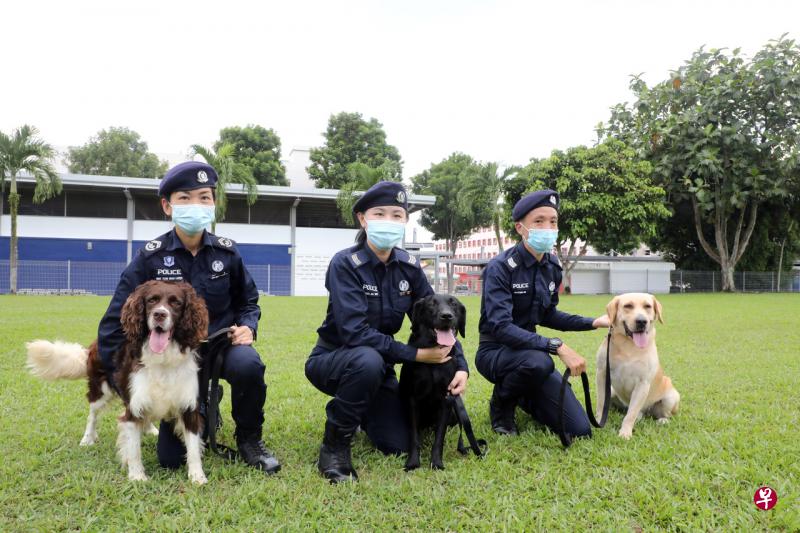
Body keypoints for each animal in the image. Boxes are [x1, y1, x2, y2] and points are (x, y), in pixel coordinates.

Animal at [400, 294, 468, 472]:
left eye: (454, 304)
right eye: (431, 303)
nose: (446, 316)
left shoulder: (446, 400)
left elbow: (439, 437)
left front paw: (436, 462)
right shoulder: (412, 400)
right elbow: (414, 437)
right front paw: (413, 462)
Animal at [596, 294, 680, 438]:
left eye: (648, 306)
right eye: (628, 306)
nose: (641, 321)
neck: (629, 345)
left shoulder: (643, 383)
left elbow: (631, 414)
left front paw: (625, 433)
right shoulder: (602, 374)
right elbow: (601, 403)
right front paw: (597, 421)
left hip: (670, 397)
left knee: (664, 414)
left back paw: (662, 420)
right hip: (612, 391)